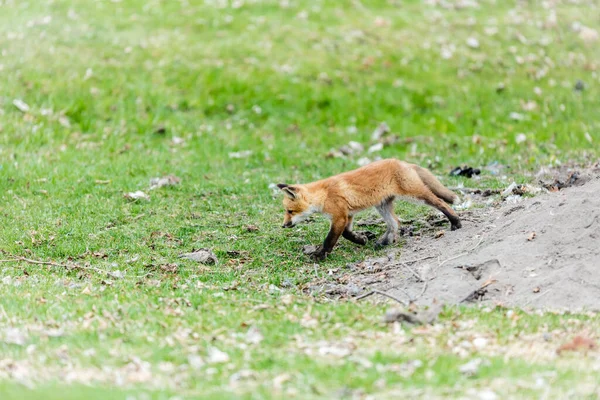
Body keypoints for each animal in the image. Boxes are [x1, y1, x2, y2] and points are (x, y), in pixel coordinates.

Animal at [278, 158, 462, 260]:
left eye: (290, 211)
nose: (283, 225)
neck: (324, 195)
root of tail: (403, 162)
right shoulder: (348, 215)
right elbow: (347, 234)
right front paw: (361, 240)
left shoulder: (340, 216)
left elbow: (329, 239)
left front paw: (320, 255)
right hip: (382, 205)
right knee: (395, 223)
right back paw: (385, 242)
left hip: (415, 195)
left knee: (440, 202)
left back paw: (455, 222)